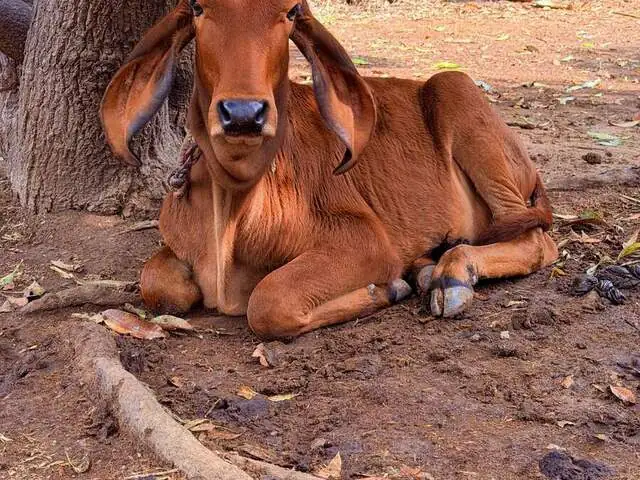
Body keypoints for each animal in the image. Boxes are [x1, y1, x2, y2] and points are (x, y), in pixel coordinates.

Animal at [100, 0, 558, 339]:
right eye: (197, 6)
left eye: (289, 11)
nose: (243, 114)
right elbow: (157, 286)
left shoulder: (364, 240)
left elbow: (268, 302)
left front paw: (387, 289)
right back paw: (428, 267)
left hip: (457, 93)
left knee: (537, 240)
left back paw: (453, 275)